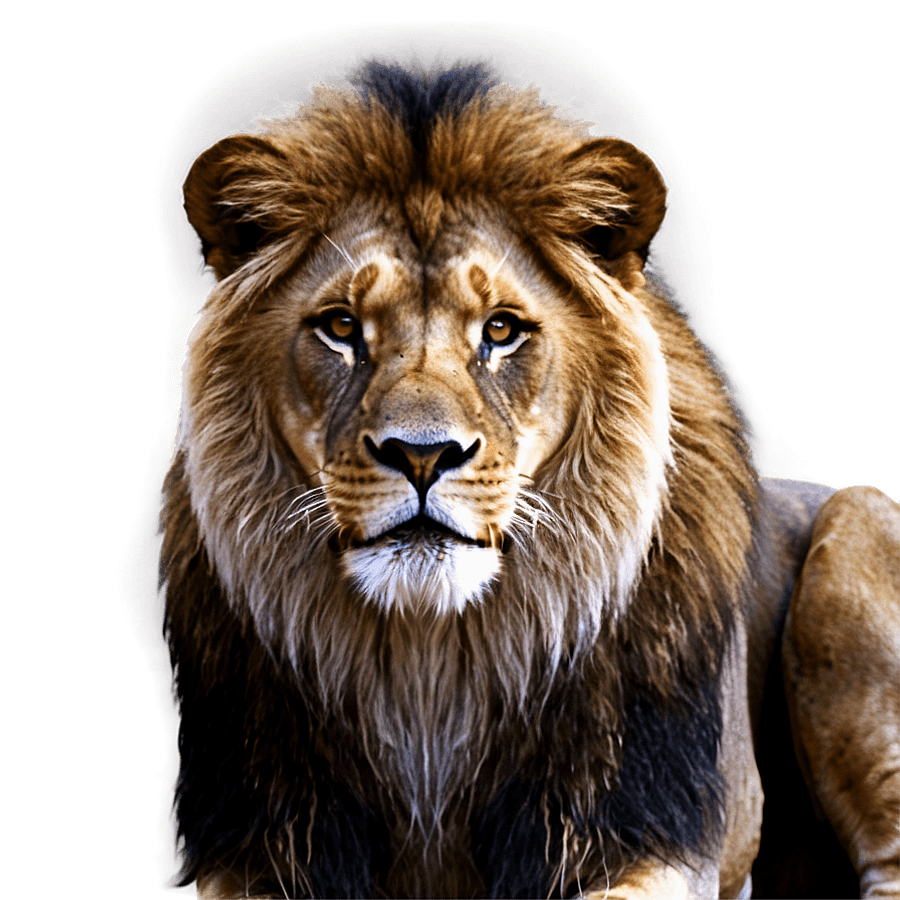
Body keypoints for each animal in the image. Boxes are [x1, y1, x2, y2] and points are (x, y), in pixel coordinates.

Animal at [161, 66, 899, 898]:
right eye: (342, 327)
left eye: (501, 330)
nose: (422, 455)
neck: (431, 658)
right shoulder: (259, 844)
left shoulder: (649, 838)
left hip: (857, 528)